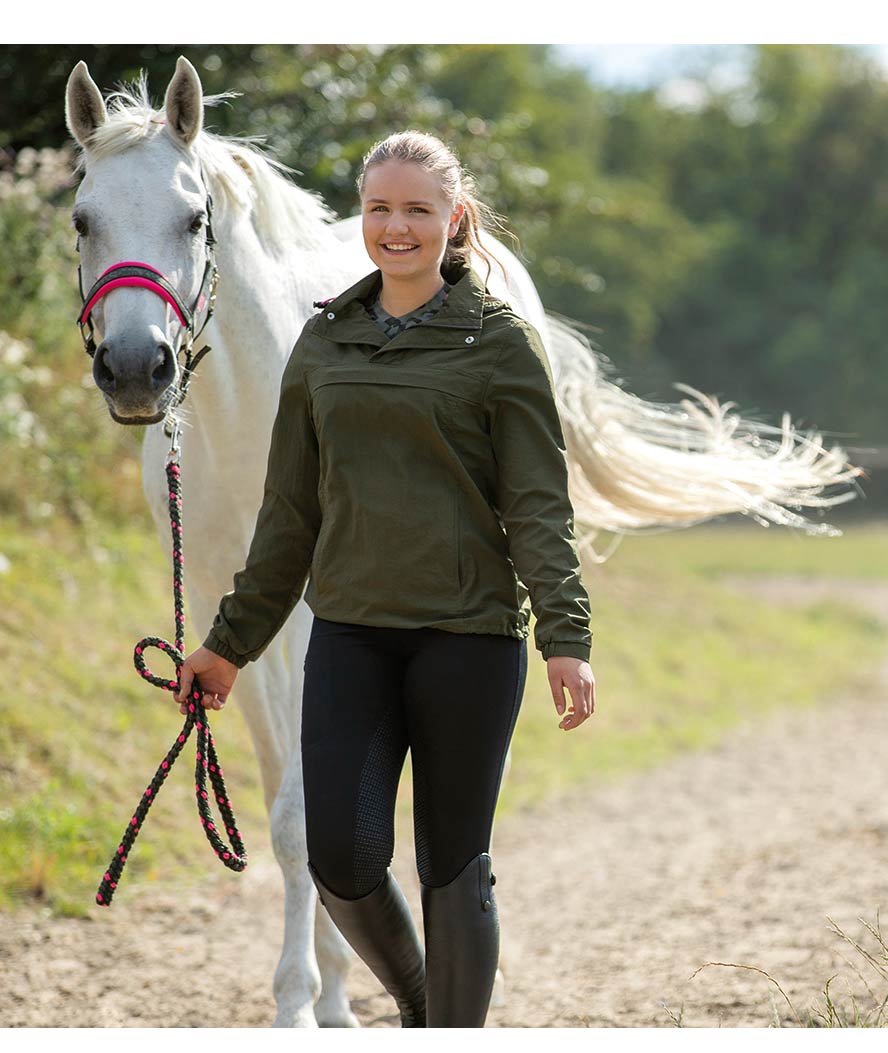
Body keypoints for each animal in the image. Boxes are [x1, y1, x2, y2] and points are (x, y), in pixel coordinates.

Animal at [64, 57, 859, 1027]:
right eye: (84, 218)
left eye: (191, 218)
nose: (137, 371)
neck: (246, 412)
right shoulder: (230, 614)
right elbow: (299, 811)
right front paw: (320, 996)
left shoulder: (307, 616)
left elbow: (306, 813)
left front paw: (306, 1001)